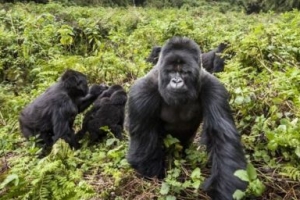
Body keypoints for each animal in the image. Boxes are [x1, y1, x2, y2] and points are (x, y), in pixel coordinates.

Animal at [126, 37, 246, 200]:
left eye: (184, 72)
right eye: (171, 71)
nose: (176, 81)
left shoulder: (214, 88)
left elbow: (222, 138)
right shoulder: (141, 93)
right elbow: (143, 146)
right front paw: (157, 181)